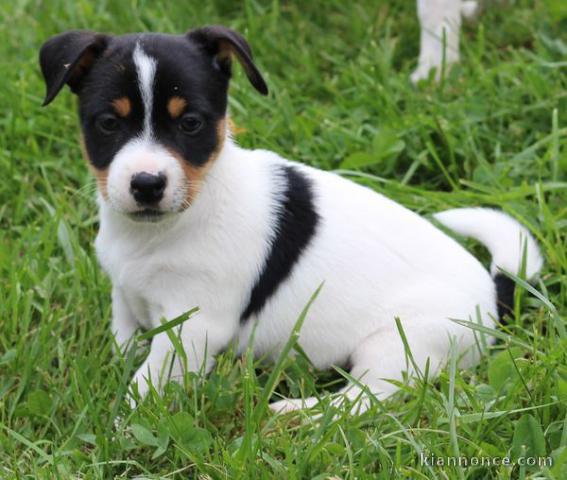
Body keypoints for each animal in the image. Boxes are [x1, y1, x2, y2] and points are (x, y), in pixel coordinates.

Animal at [38, 24, 540, 412]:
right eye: (108, 123)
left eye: (191, 124)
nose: (146, 184)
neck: (163, 229)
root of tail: (494, 297)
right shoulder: (125, 293)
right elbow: (124, 340)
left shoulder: (192, 324)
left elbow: (149, 380)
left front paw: (123, 420)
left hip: (401, 344)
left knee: (363, 400)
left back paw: (296, 414)